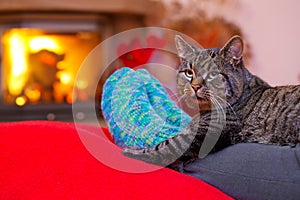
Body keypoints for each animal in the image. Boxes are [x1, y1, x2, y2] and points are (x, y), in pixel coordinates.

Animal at [122, 34, 300, 169]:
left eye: (213, 74)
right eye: (189, 73)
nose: (195, 86)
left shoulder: (202, 133)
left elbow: (167, 146)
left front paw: (133, 151)